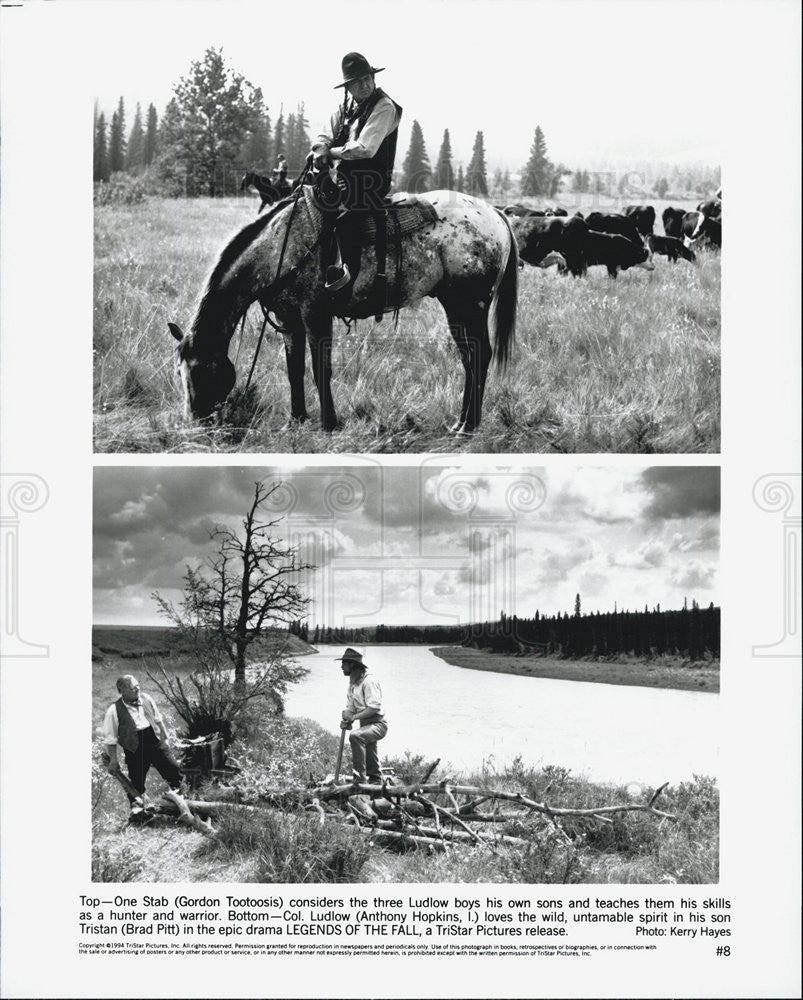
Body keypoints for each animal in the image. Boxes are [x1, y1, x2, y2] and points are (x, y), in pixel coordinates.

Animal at [170, 189, 520, 436]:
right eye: (179, 372)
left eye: (201, 371)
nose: (195, 425)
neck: (280, 248)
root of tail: (495, 214)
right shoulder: (288, 319)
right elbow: (294, 370)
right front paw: (296, 420)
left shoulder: (315, 314)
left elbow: (319, 369)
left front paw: (329, 424)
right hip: (454, 307)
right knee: (470, 358)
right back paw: (461, 423)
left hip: (469, 305)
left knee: (480, 355)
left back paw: (468, 426)